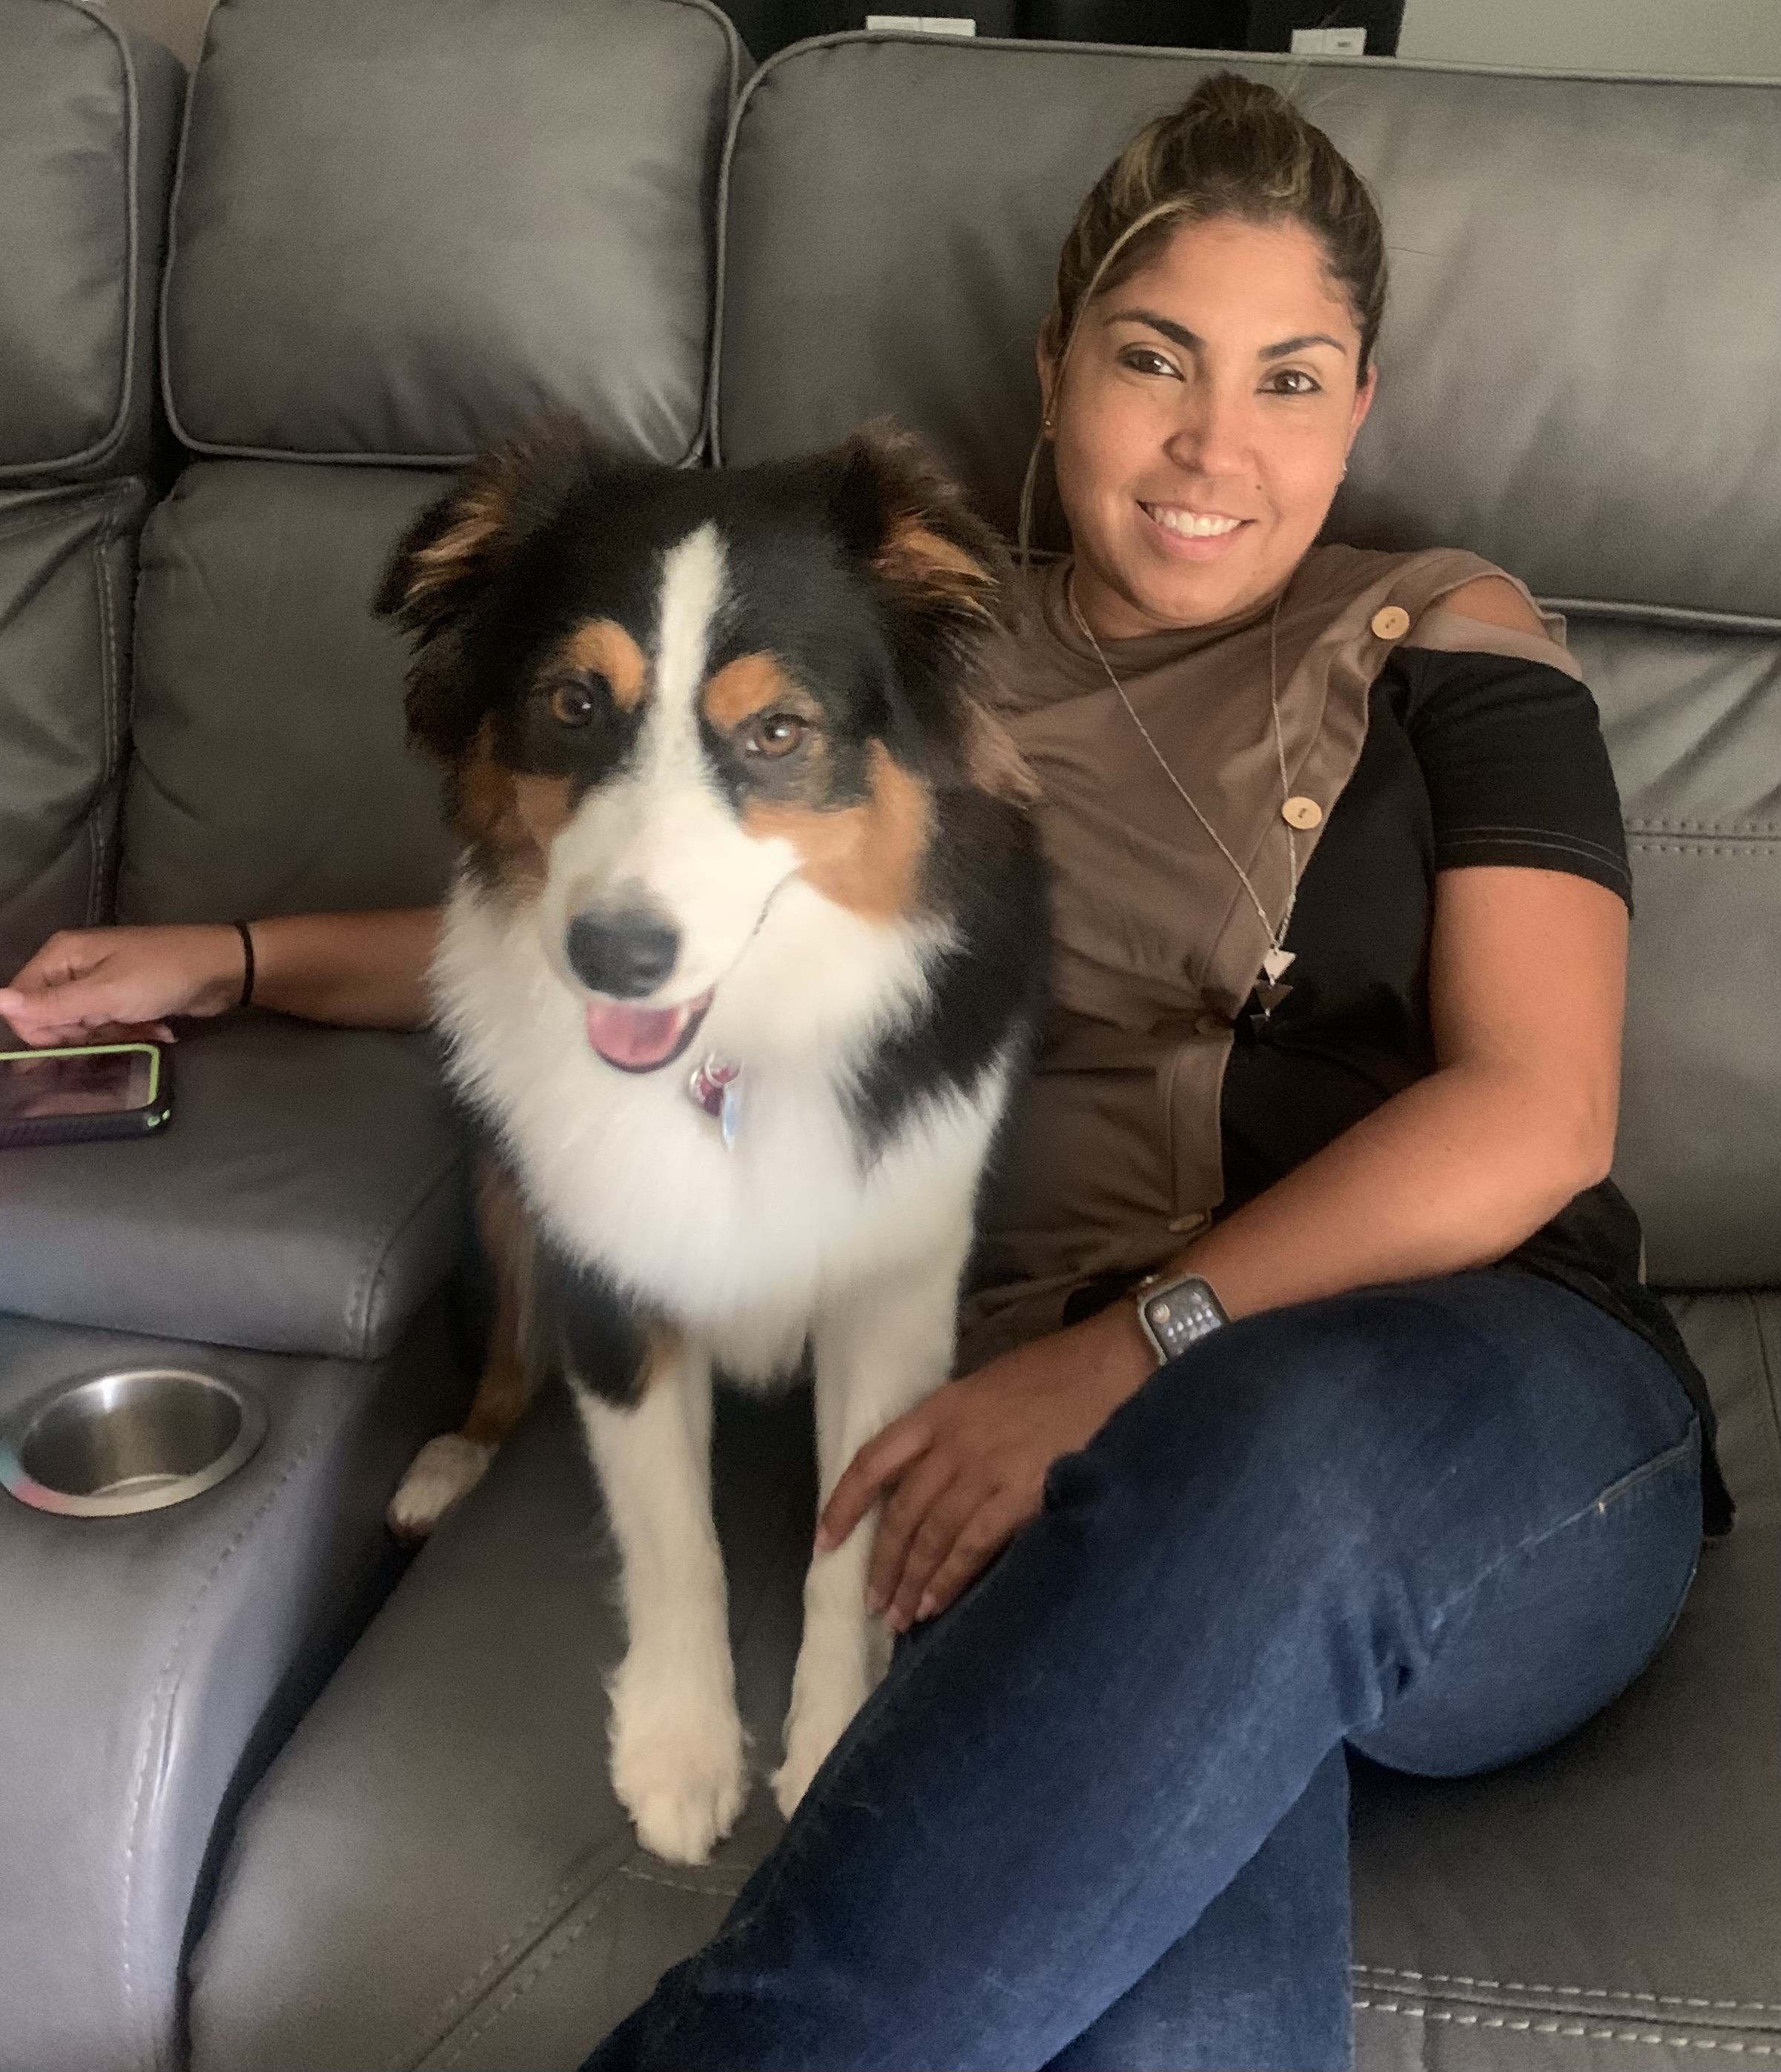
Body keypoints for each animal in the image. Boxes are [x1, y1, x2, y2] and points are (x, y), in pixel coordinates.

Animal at [373, 422, 1048, 1864]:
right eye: (572, 704)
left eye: (777, 730)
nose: (615, 957)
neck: (729, 1055)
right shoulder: (609, 1280)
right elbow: (673, 1537)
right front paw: (682, 1754)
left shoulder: (890, 1294)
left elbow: (849, 1535)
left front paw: (829, 1737)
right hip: (501, 1173)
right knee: (506, 1344)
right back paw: (454, 1459)